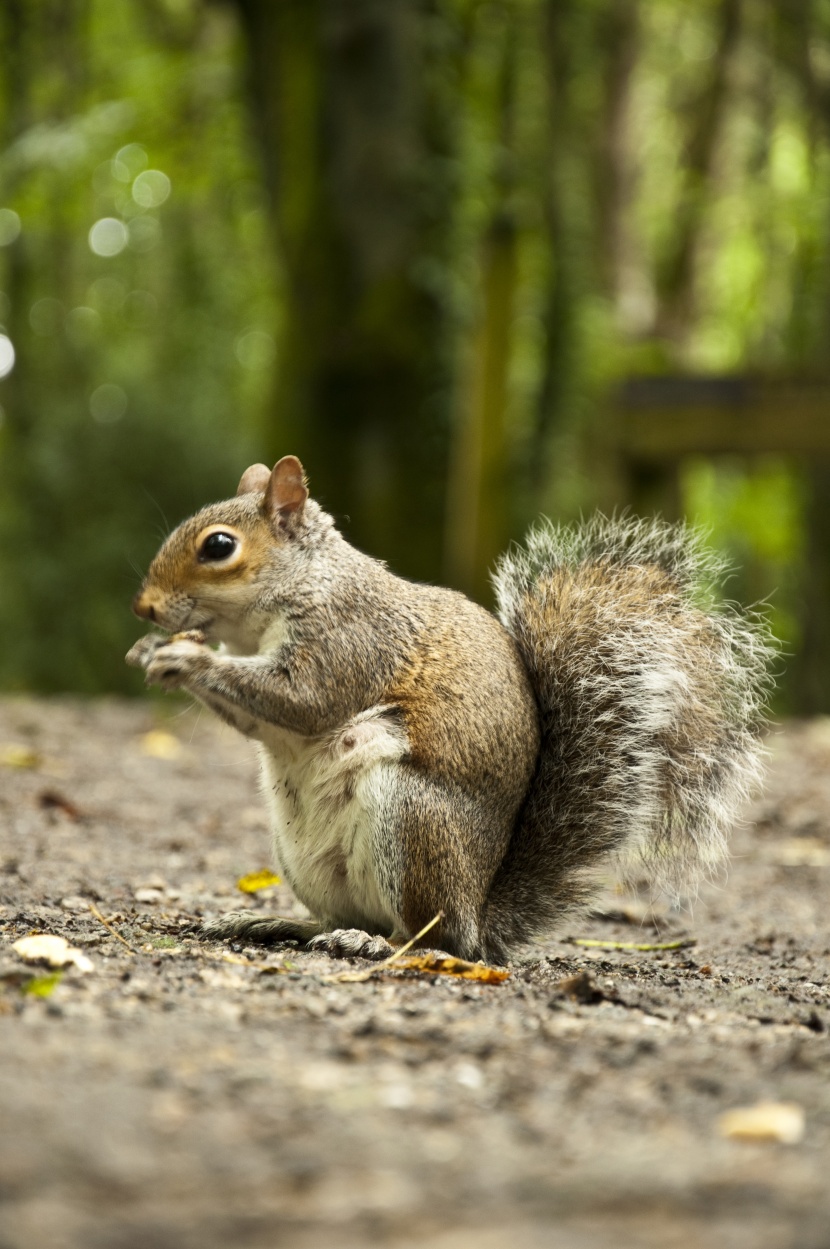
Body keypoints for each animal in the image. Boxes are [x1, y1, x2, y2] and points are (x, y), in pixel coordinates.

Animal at [126, 454, 773, 959]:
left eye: (218, 546)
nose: (144, 609)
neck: (303, 586)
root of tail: (477, 915)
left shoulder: (352, 640)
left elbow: (303, 701)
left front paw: (186, 659)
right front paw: (152, 651)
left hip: (411, 821)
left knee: (425, 937)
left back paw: (372, 943)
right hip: (301, 855)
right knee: (343, 916)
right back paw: (275, 921)